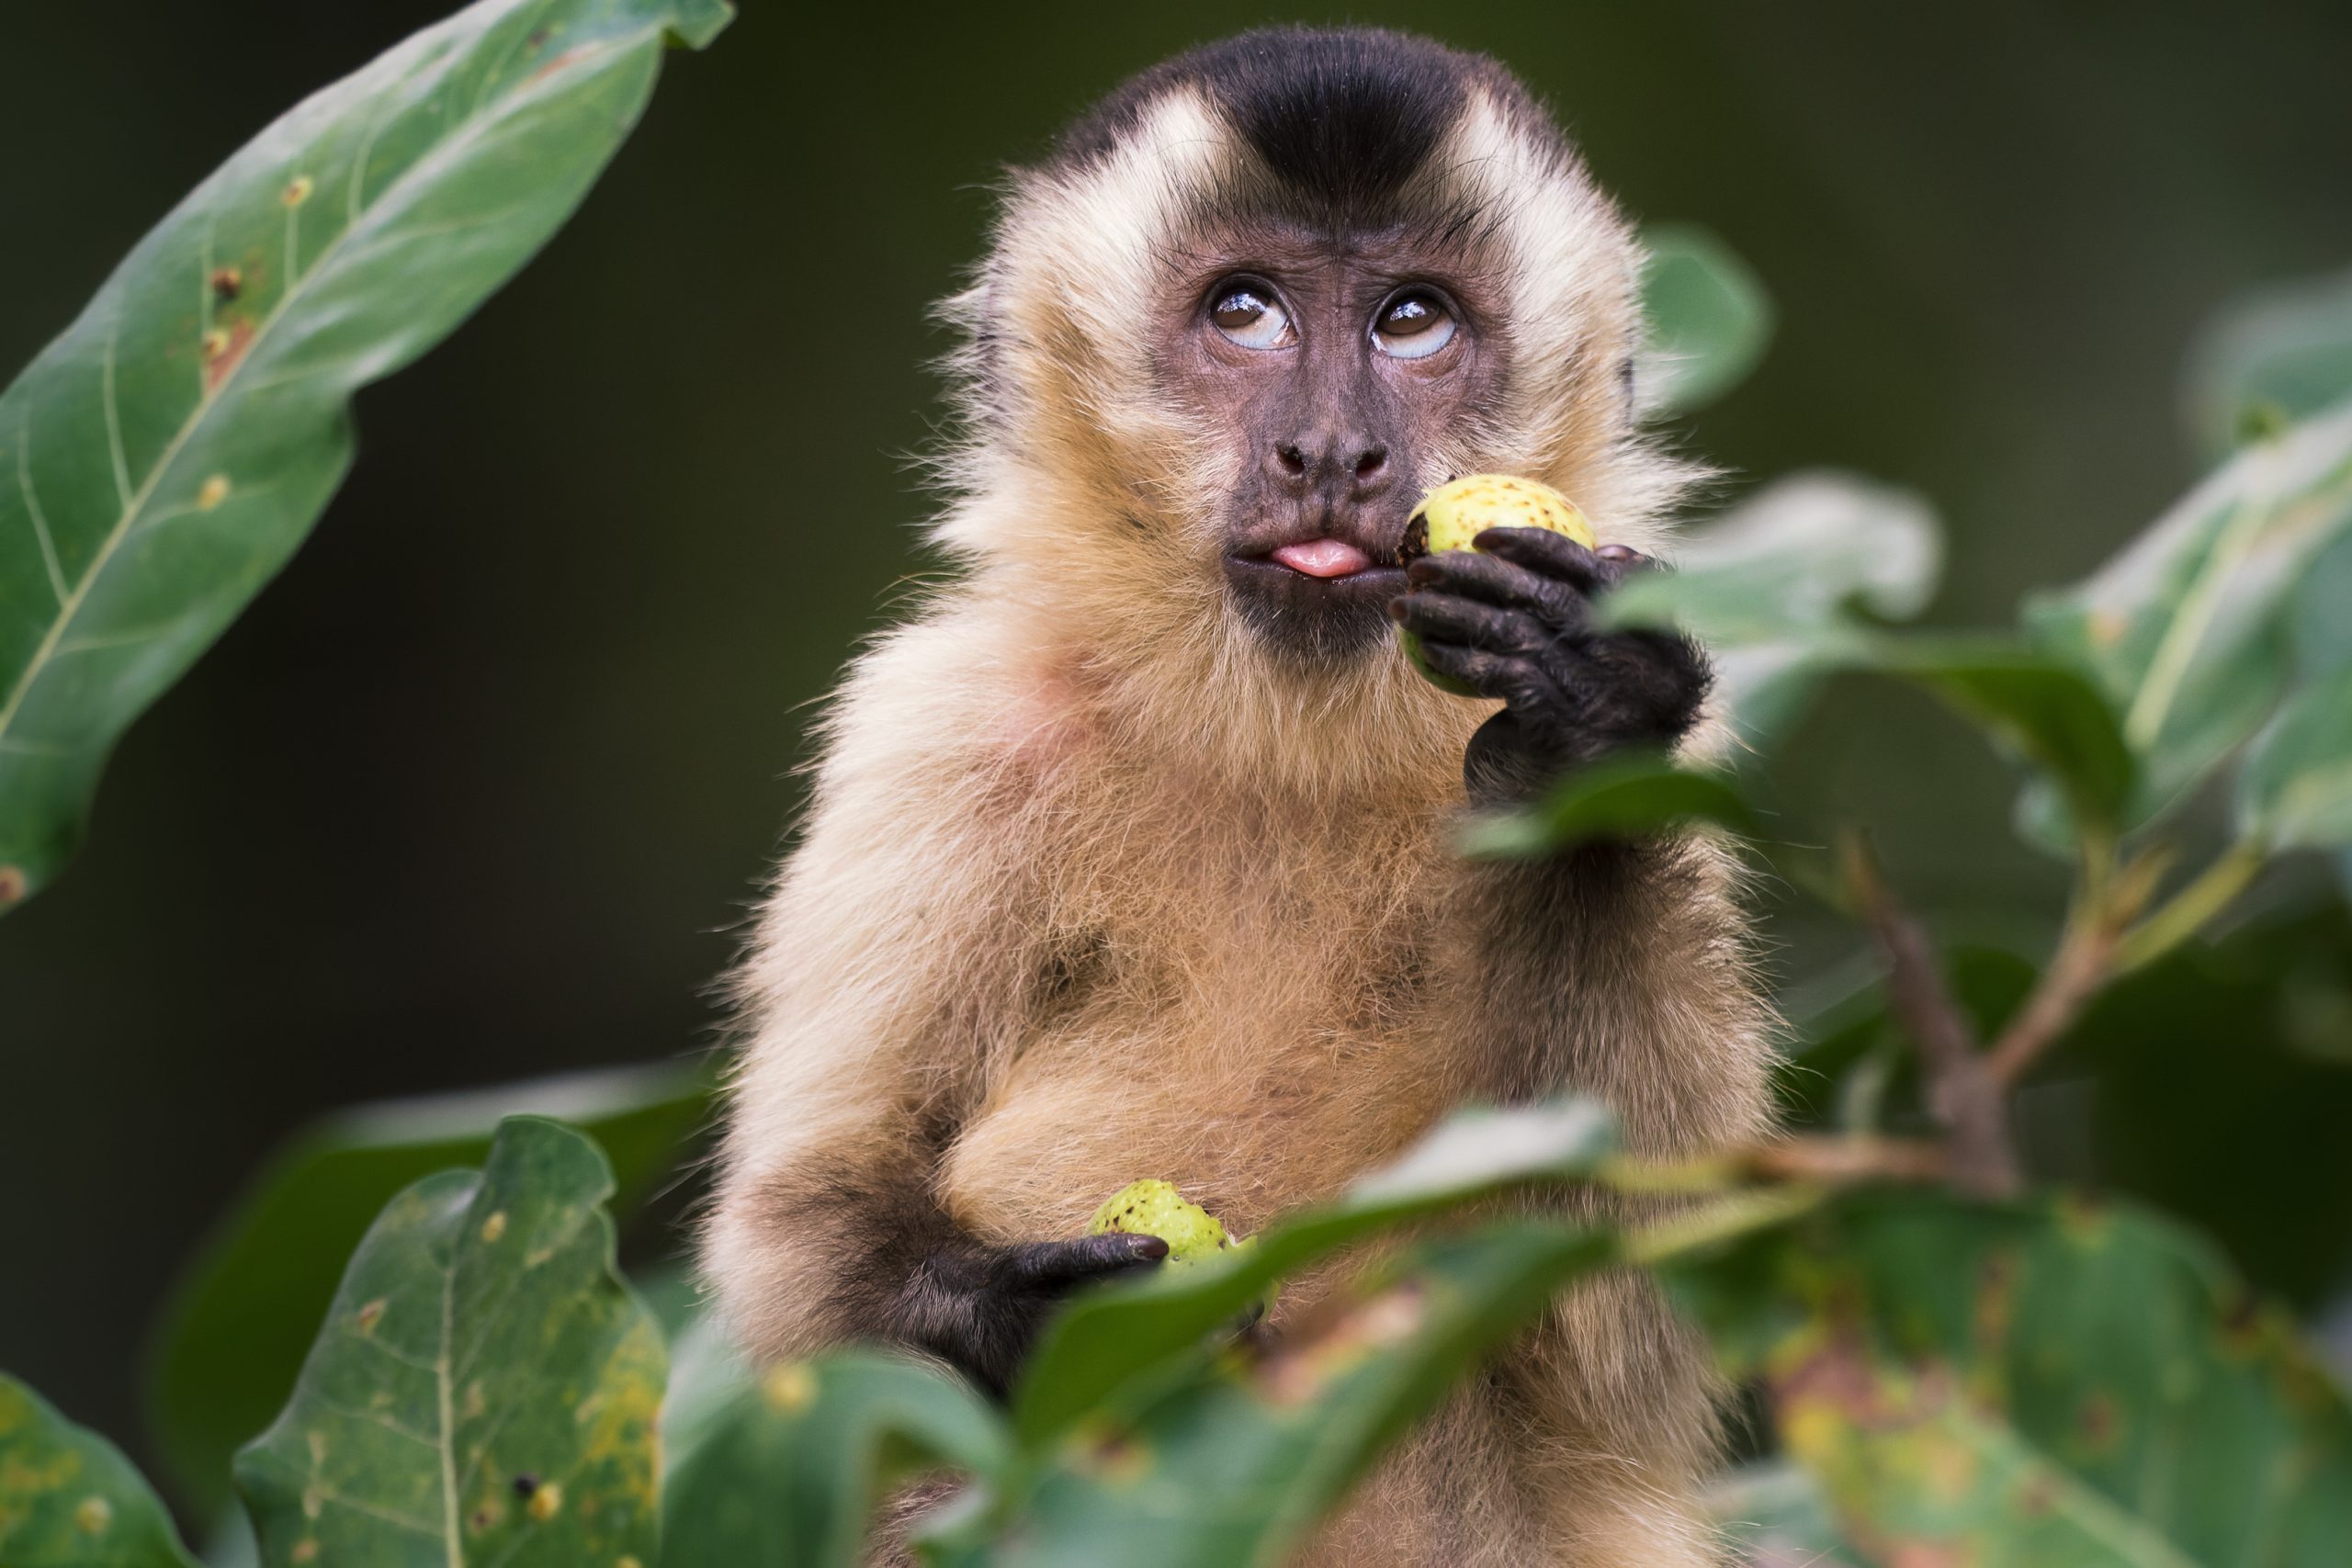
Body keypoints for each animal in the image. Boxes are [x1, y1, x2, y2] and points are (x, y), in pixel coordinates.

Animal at [706, 24, 1769, 1568]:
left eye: (1410, 321)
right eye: (1246, 312)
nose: (1328, 450)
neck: (1276, 742)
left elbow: (1626, 1323)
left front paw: (1581, 719)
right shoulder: (932, 727)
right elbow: (797, 1240)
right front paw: (1039, 1317)